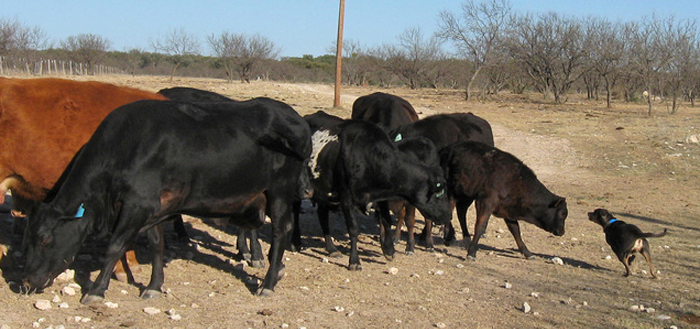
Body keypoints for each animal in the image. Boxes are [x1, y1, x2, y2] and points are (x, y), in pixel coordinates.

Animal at [20, 97, 310, 302]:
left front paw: (96, 289)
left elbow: (115, 246)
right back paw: (277, 269)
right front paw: (154, 286)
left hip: (280, 191)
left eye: (44, 238)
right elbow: (156, 244)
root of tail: (292, 115)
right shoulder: (156, 208)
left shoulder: (138, 205)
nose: (27, 281)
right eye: (28, 238)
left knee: (281, 230)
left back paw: (268, 283)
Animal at [300, 118, 448, 270]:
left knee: (322, 214)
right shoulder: (346, 197)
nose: (447, 215)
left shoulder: (381, 198)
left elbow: (386, 220)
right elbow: (353, 229)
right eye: (439, 193)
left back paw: (331, 248)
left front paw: (389, 250)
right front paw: (354, 261)